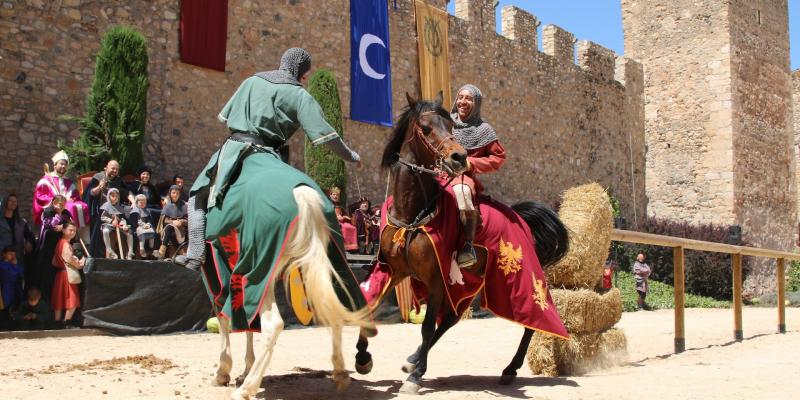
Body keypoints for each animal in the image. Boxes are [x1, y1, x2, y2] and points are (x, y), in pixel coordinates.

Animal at [209, 186, 372, 398]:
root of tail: (304, 195)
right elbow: (247, 323)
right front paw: (244, 370)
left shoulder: (216, 267)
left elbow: (225, 318)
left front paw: (224, 372)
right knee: (333, 310)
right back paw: (341, 373)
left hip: (261, 271)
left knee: (273, 324)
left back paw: (247, 387)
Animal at [354, 93, 568, 394]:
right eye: (426, 128)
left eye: (451, 127)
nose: (459, 157)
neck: (412, 213)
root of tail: (520, 218)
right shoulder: (394, 270)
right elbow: (370, 306)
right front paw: (363, 358)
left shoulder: (434, 278)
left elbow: (426, 326)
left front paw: (414, 378)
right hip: (468, 282)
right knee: (451, 319)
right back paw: (414, 359)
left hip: (524, 280)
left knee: (531, 322)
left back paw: (509, 368)